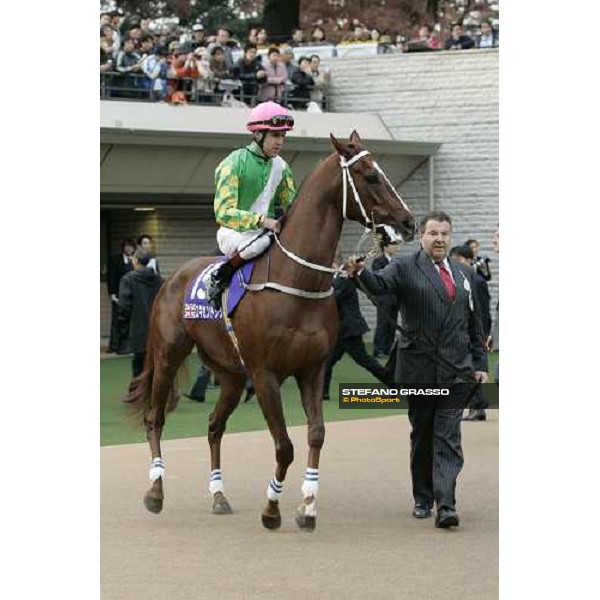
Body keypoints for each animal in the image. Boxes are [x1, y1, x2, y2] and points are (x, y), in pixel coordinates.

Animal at [129, 131, 414, 528]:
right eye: (371, 176)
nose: (408, 222)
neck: (296, 280)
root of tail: (172, 278)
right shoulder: (265, 375)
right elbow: (285, 446)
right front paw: (271, 508)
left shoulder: (311, 369)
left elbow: (316, 435)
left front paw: (307, 506)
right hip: (168, 355)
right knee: (155, 417)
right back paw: (155, 491)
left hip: (231, 374)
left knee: (214, 426)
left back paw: (219, 495)